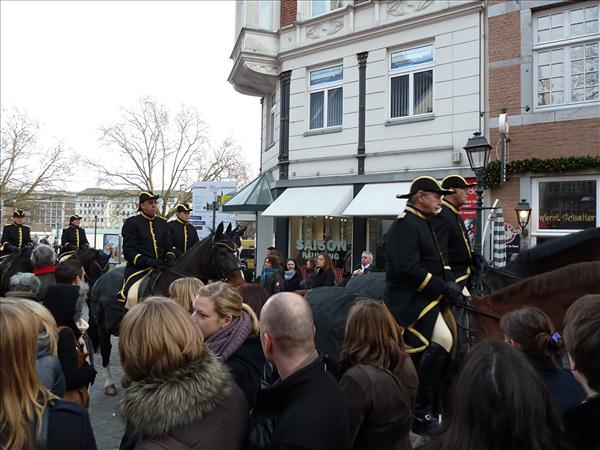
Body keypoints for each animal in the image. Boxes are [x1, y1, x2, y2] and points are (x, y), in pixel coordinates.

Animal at [91, 223, 246, 396]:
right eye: (222, 252)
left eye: (237, 251)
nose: (240, 282)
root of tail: (100, 279)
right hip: (102, 327)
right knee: (106, 350)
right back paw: (109, 384)